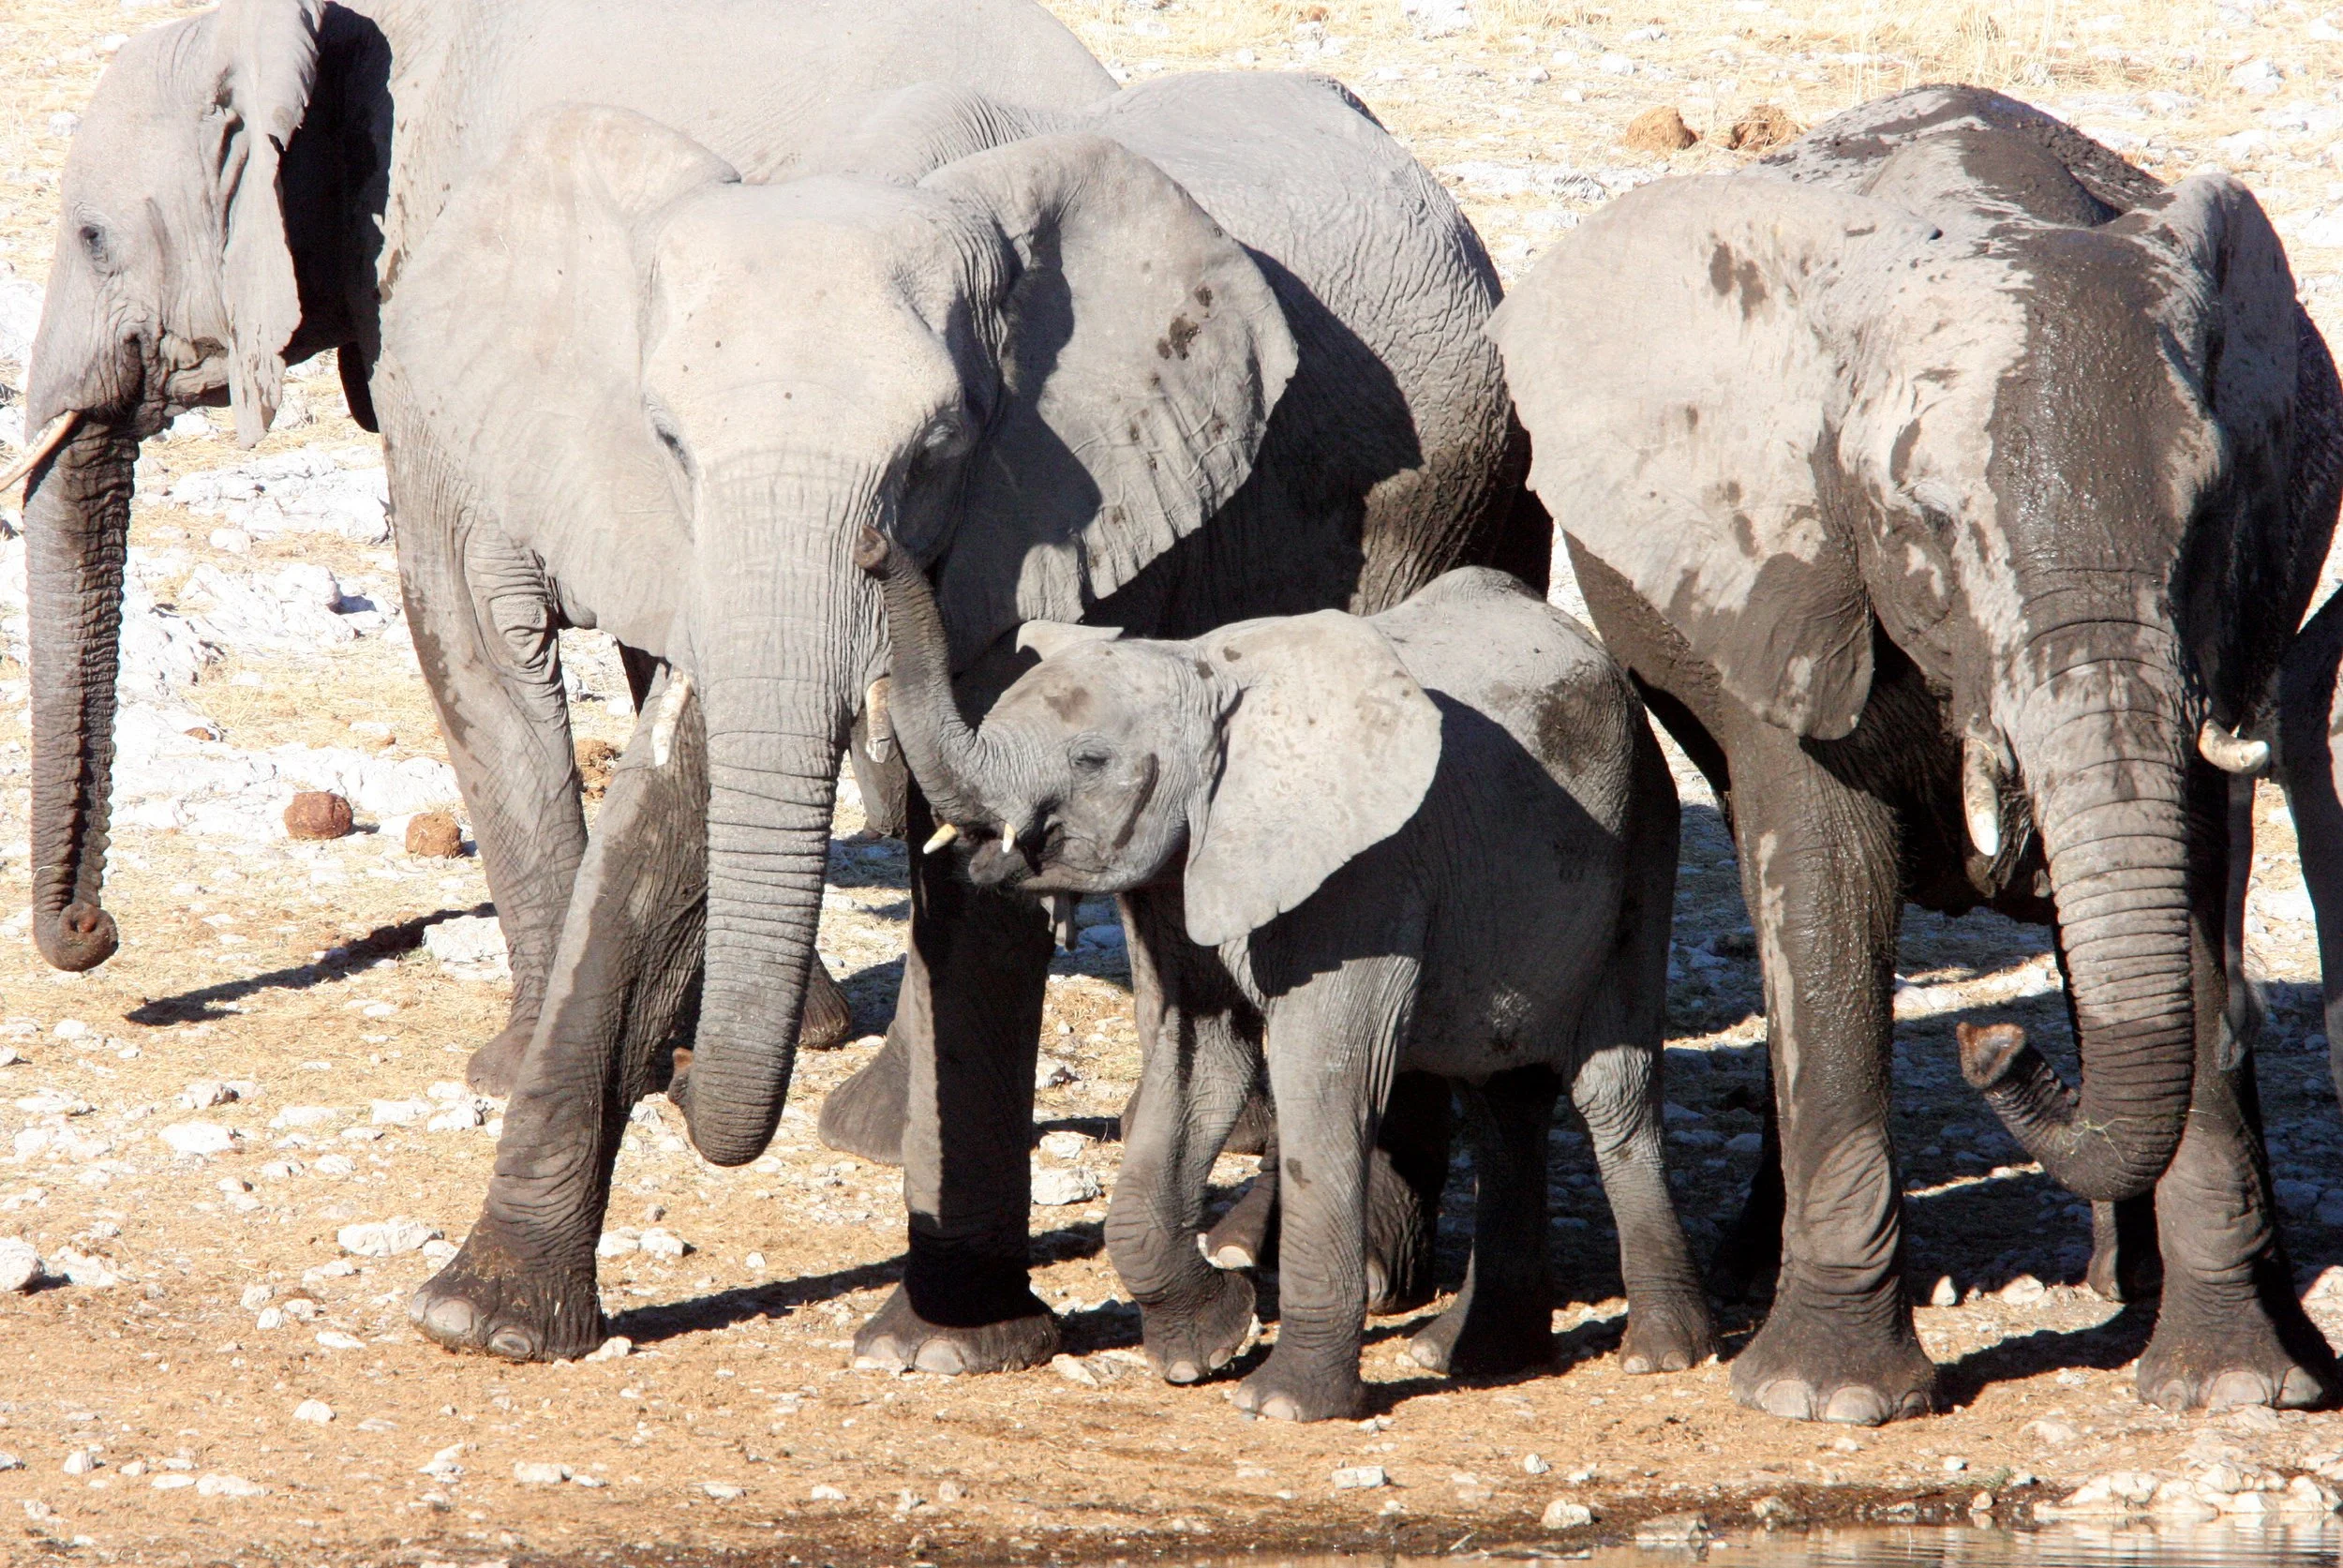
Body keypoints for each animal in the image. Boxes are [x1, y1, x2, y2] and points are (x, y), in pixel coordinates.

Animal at [9, 0, 1117, 1077]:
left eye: (95, 238)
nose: (94, 933)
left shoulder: (427, 308)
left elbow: (473, 641)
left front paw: (516, 1062)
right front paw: (779, 1022)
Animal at [374, 71, 1547, 1365]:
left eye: (935, 450)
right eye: (667, 440)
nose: (879, 559)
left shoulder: (1063, 513)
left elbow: (992, 867)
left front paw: (945, 1342)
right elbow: (661, 830)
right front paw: (482, 1317)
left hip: (1444, 501)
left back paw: (1329, 1264)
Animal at [857, 530, 1714, 1420]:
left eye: (1091, 760)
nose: (873, 544)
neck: (1205, 671)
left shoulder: (1364, 874)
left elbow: (1326, 1081)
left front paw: (1283, 1402)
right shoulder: (1187, 869)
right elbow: (1198, 1061)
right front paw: (1206, 1344)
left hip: (1644, 830)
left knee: (1611, 1088)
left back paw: (1656, 1353)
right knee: (1501, 1097)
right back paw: (1468, 1354)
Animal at [1490, 85, 2343, 1422]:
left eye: (2207, 512)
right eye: (1928, 527)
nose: (1991, 1043)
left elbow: (2196, 878)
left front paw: (2233, 1384)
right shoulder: (1784, 577)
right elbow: (1822, 877)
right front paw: (1822, 1399)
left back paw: (2134, 1284)